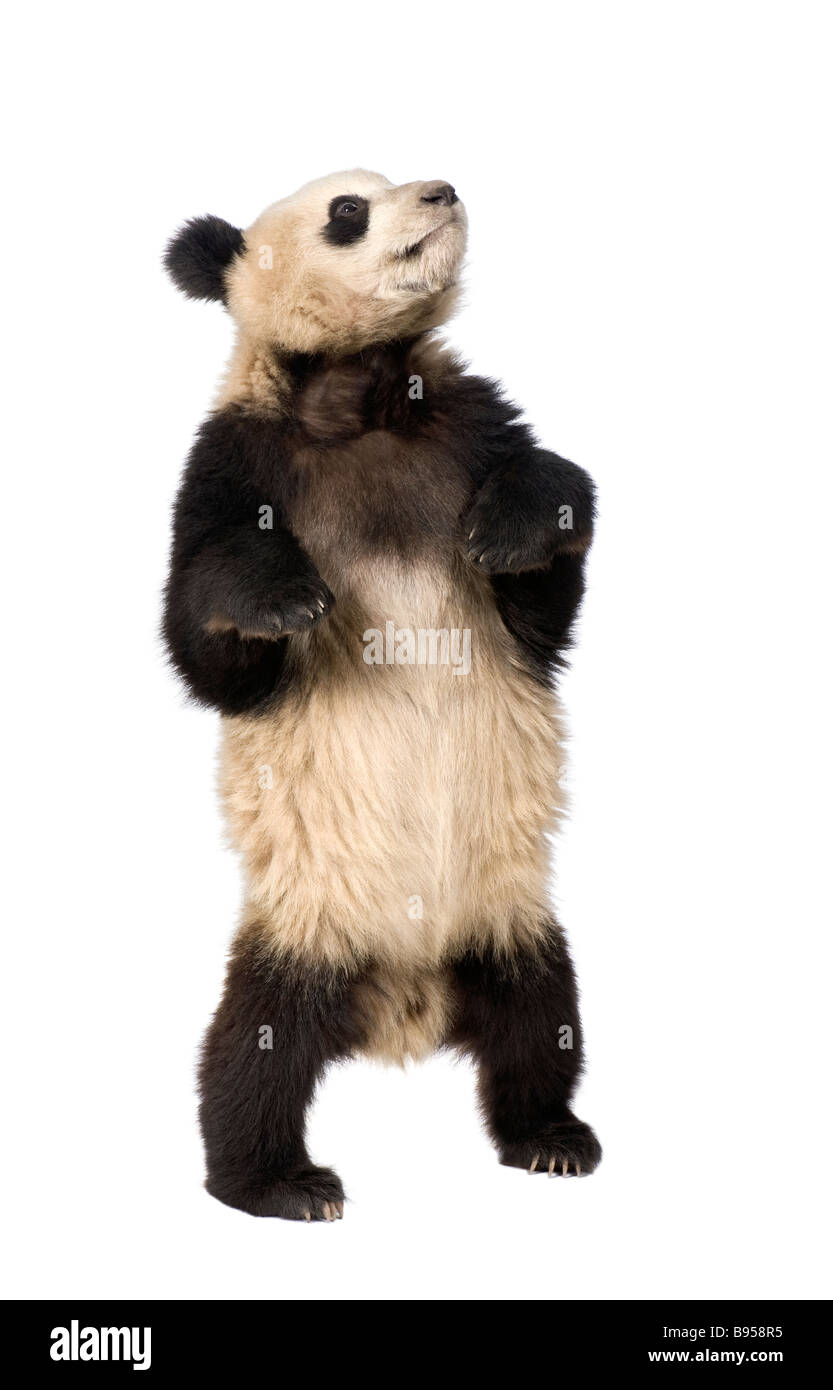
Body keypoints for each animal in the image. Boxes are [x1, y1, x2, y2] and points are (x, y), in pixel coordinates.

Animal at [163, 170, 601, 1221]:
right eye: (347, 213)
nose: (440, 192)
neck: (358, 397)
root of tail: (403, 1003)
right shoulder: (231, 461)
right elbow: (207, 651)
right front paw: (282, 596)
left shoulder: (469, 425)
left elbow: (543, 597)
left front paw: (512, 529)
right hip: (305, 914)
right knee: (252, 1047)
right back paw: (275, 1181)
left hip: (509, 908)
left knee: (541, 1016)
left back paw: (549, 1136)